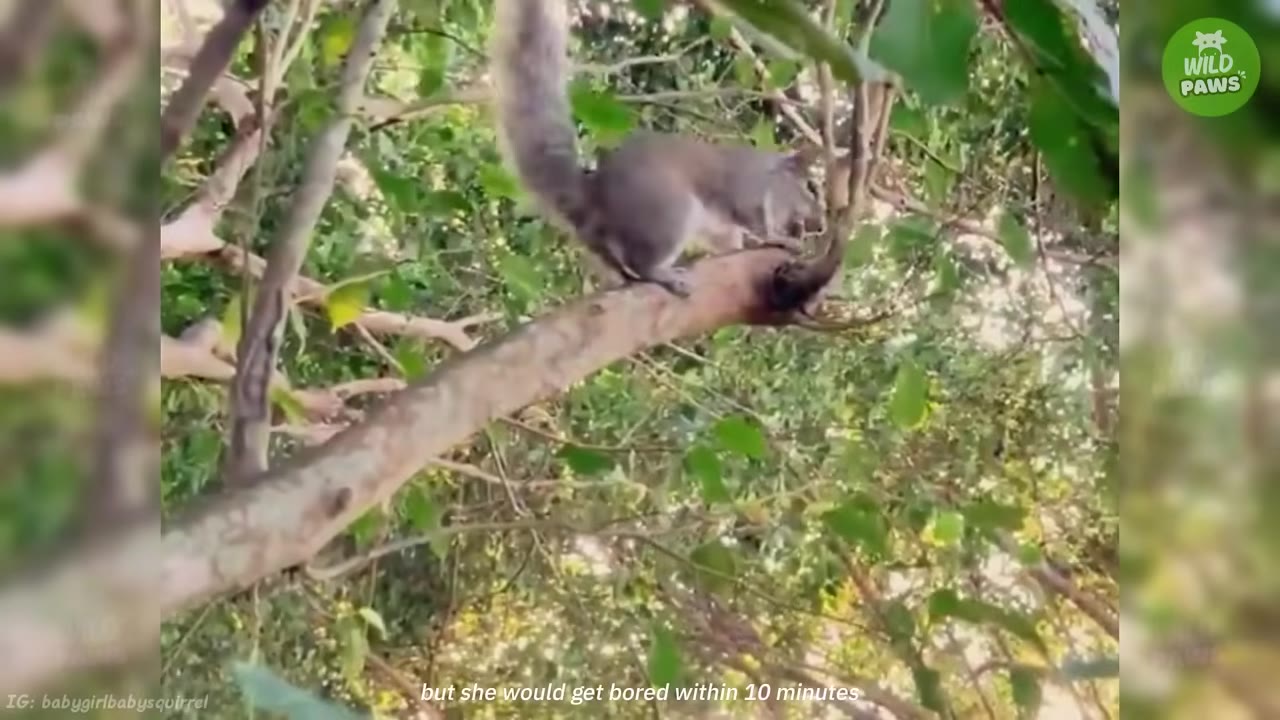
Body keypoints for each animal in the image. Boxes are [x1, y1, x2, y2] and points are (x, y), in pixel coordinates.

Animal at [490, 0, 822, 298]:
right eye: (810, 186)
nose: (819, 217)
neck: (772, 178)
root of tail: (595, 196)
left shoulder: (722, 227)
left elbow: (729, 240)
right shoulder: (747, 190)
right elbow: (754, 221)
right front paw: (778, 239)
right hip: (668, 210)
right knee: (641, 261)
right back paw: (663, 275)